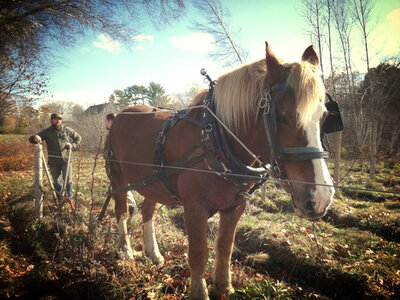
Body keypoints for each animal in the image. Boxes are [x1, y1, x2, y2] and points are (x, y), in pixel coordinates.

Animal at [105, 42, 334, 300]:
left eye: (324, 116)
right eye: (281, 116)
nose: (320, 198)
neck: (214, 138)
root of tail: (119, 115)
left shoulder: (235, 206)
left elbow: (225, 246)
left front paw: (225, 286)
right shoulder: (194, 207)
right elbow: (198, 253)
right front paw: (200, 292)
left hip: (153, 181)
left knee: (147, 211)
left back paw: (153, 253)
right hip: (118, 178)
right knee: (121, 210)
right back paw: (126, 250)